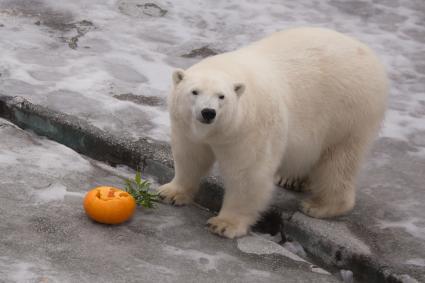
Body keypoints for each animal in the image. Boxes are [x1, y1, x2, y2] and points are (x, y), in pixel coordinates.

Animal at [157, 27, 388, 240]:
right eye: (194, 91)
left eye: (222, 96)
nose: (208, 112)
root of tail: (369, 55)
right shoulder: (187, 128)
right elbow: (190, 157)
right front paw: (170, 193)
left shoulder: (250, 128)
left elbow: (247, 174)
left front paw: (224, 224)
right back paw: (291, 179)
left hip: (347, 113)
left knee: (338, 161)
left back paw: (320, 205)